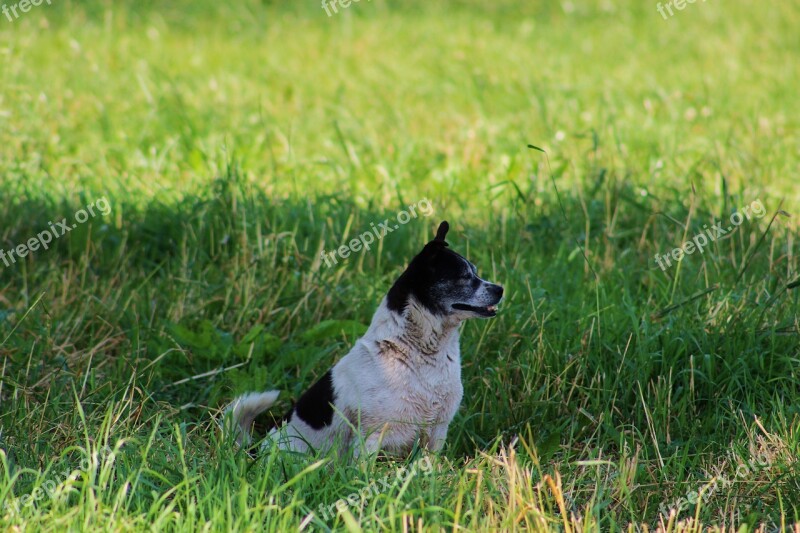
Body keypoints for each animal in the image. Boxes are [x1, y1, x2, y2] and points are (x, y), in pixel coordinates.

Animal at [222, 220, 504, 458]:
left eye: (475, 273)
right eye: (464, 277)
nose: (501, 289)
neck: (416, 353)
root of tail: (255, 451)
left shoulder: (436, 433)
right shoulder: (371, 437)